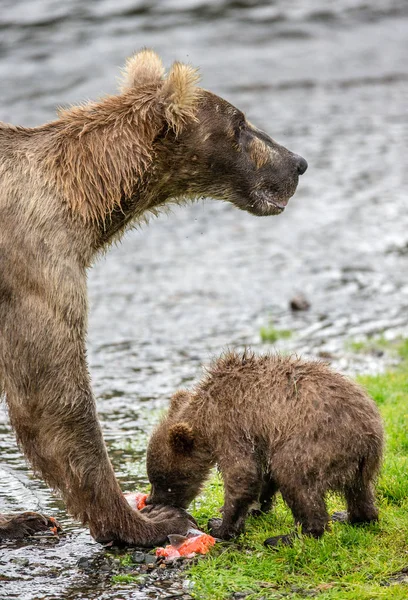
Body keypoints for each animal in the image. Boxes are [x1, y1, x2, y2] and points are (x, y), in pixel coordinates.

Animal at [0, 49, 306, 548]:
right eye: (240, 124)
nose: (298, 162)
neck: (85, 200)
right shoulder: (36, 262)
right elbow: (51, 395)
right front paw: (148, 522)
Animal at [147, 350, 382, 548]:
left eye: (163, 482)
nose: (151, 501)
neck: (204, 416)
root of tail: (368, 435)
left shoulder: (231, 424)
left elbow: (242, 475)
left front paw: (220, 526)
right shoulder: (261, 437)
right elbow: (263, 476)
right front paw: (255, 509)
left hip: (315, 443)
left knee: (294, 479)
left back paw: (288, 537)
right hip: (358, 463)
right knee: (360, 491)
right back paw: (352, 516)